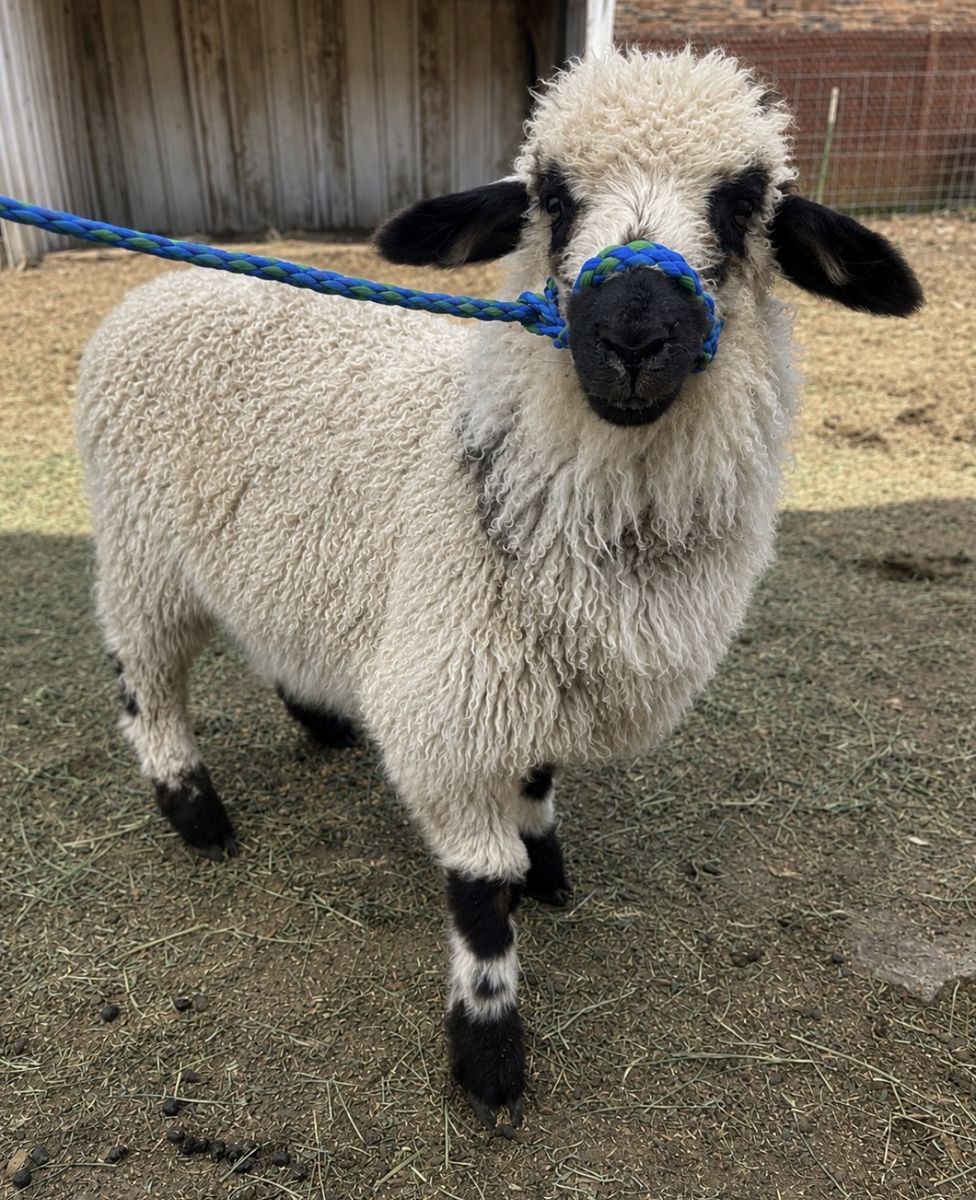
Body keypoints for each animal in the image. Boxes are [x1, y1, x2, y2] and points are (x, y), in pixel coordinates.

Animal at [74, 47, 922, 1127]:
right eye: (550, 197)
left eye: (742, 203)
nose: (632, 334)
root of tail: (161, 284)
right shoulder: (452, 692)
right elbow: (479, 897)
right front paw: (489, 1060)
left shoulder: (533, 662)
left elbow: (540, 780)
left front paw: (547, 870)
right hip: (141, 545)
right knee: (143, 672)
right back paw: (194, 812)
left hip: (276, 550)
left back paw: (321, 719)